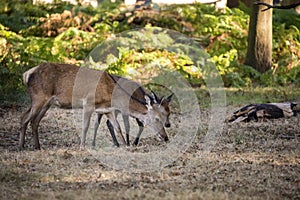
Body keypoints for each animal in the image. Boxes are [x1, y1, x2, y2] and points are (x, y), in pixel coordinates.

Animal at [19, 62, 169, 150]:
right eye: (157, 118)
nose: (166, 137)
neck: (111, 95)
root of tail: (26, 74)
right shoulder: (88, 102)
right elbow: (85, 126)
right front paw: (82, 147)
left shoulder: (107, 109)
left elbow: (117, 127)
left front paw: (125, 145)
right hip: (39, 97)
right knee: (24, 117)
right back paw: (21, 147)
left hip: (47, 102)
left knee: (34, 121)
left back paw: (37, 146)